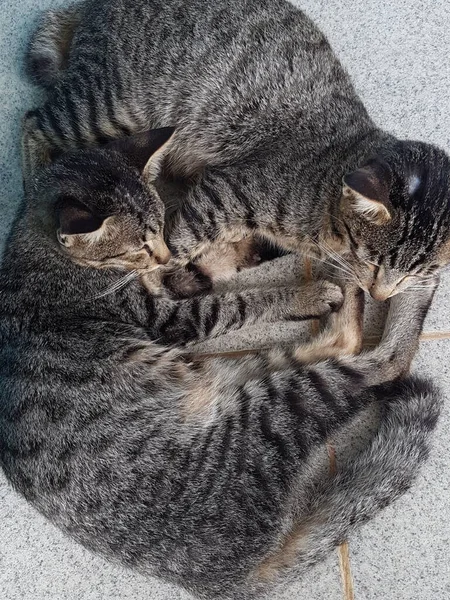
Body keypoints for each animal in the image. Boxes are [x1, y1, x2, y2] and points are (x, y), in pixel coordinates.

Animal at [0, 123, 442, 600]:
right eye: (138, 245)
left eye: (160, 226)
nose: (162, 255)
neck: (34, 246)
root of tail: (226, 578)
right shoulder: (173, 317)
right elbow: (241, 300)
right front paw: (301, 291)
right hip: (267, 407)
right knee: (368, 357)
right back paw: (343, 286)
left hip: (237, 373)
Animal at [23, 0, 450, 302]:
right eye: (371, 260)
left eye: (415, 274)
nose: (379, 295)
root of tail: (93, 5)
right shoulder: (223, 190)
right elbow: (177, 243)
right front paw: (156, 276)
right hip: (108, 108)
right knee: (33, 122)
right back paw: (32, 183)